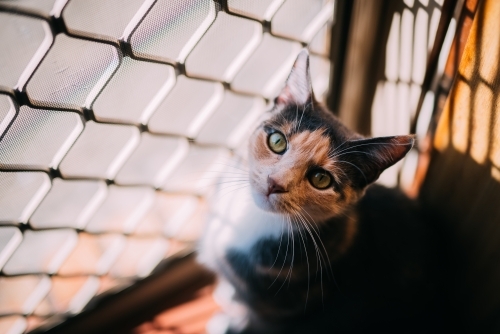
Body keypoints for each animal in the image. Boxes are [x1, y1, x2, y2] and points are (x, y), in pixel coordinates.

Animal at [197, 49, 448, 334]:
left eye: (321, 179)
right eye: (277, 141)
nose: (275, 183)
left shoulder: (276, 312)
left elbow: (253, 320)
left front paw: (228, 320)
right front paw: (227, 295)